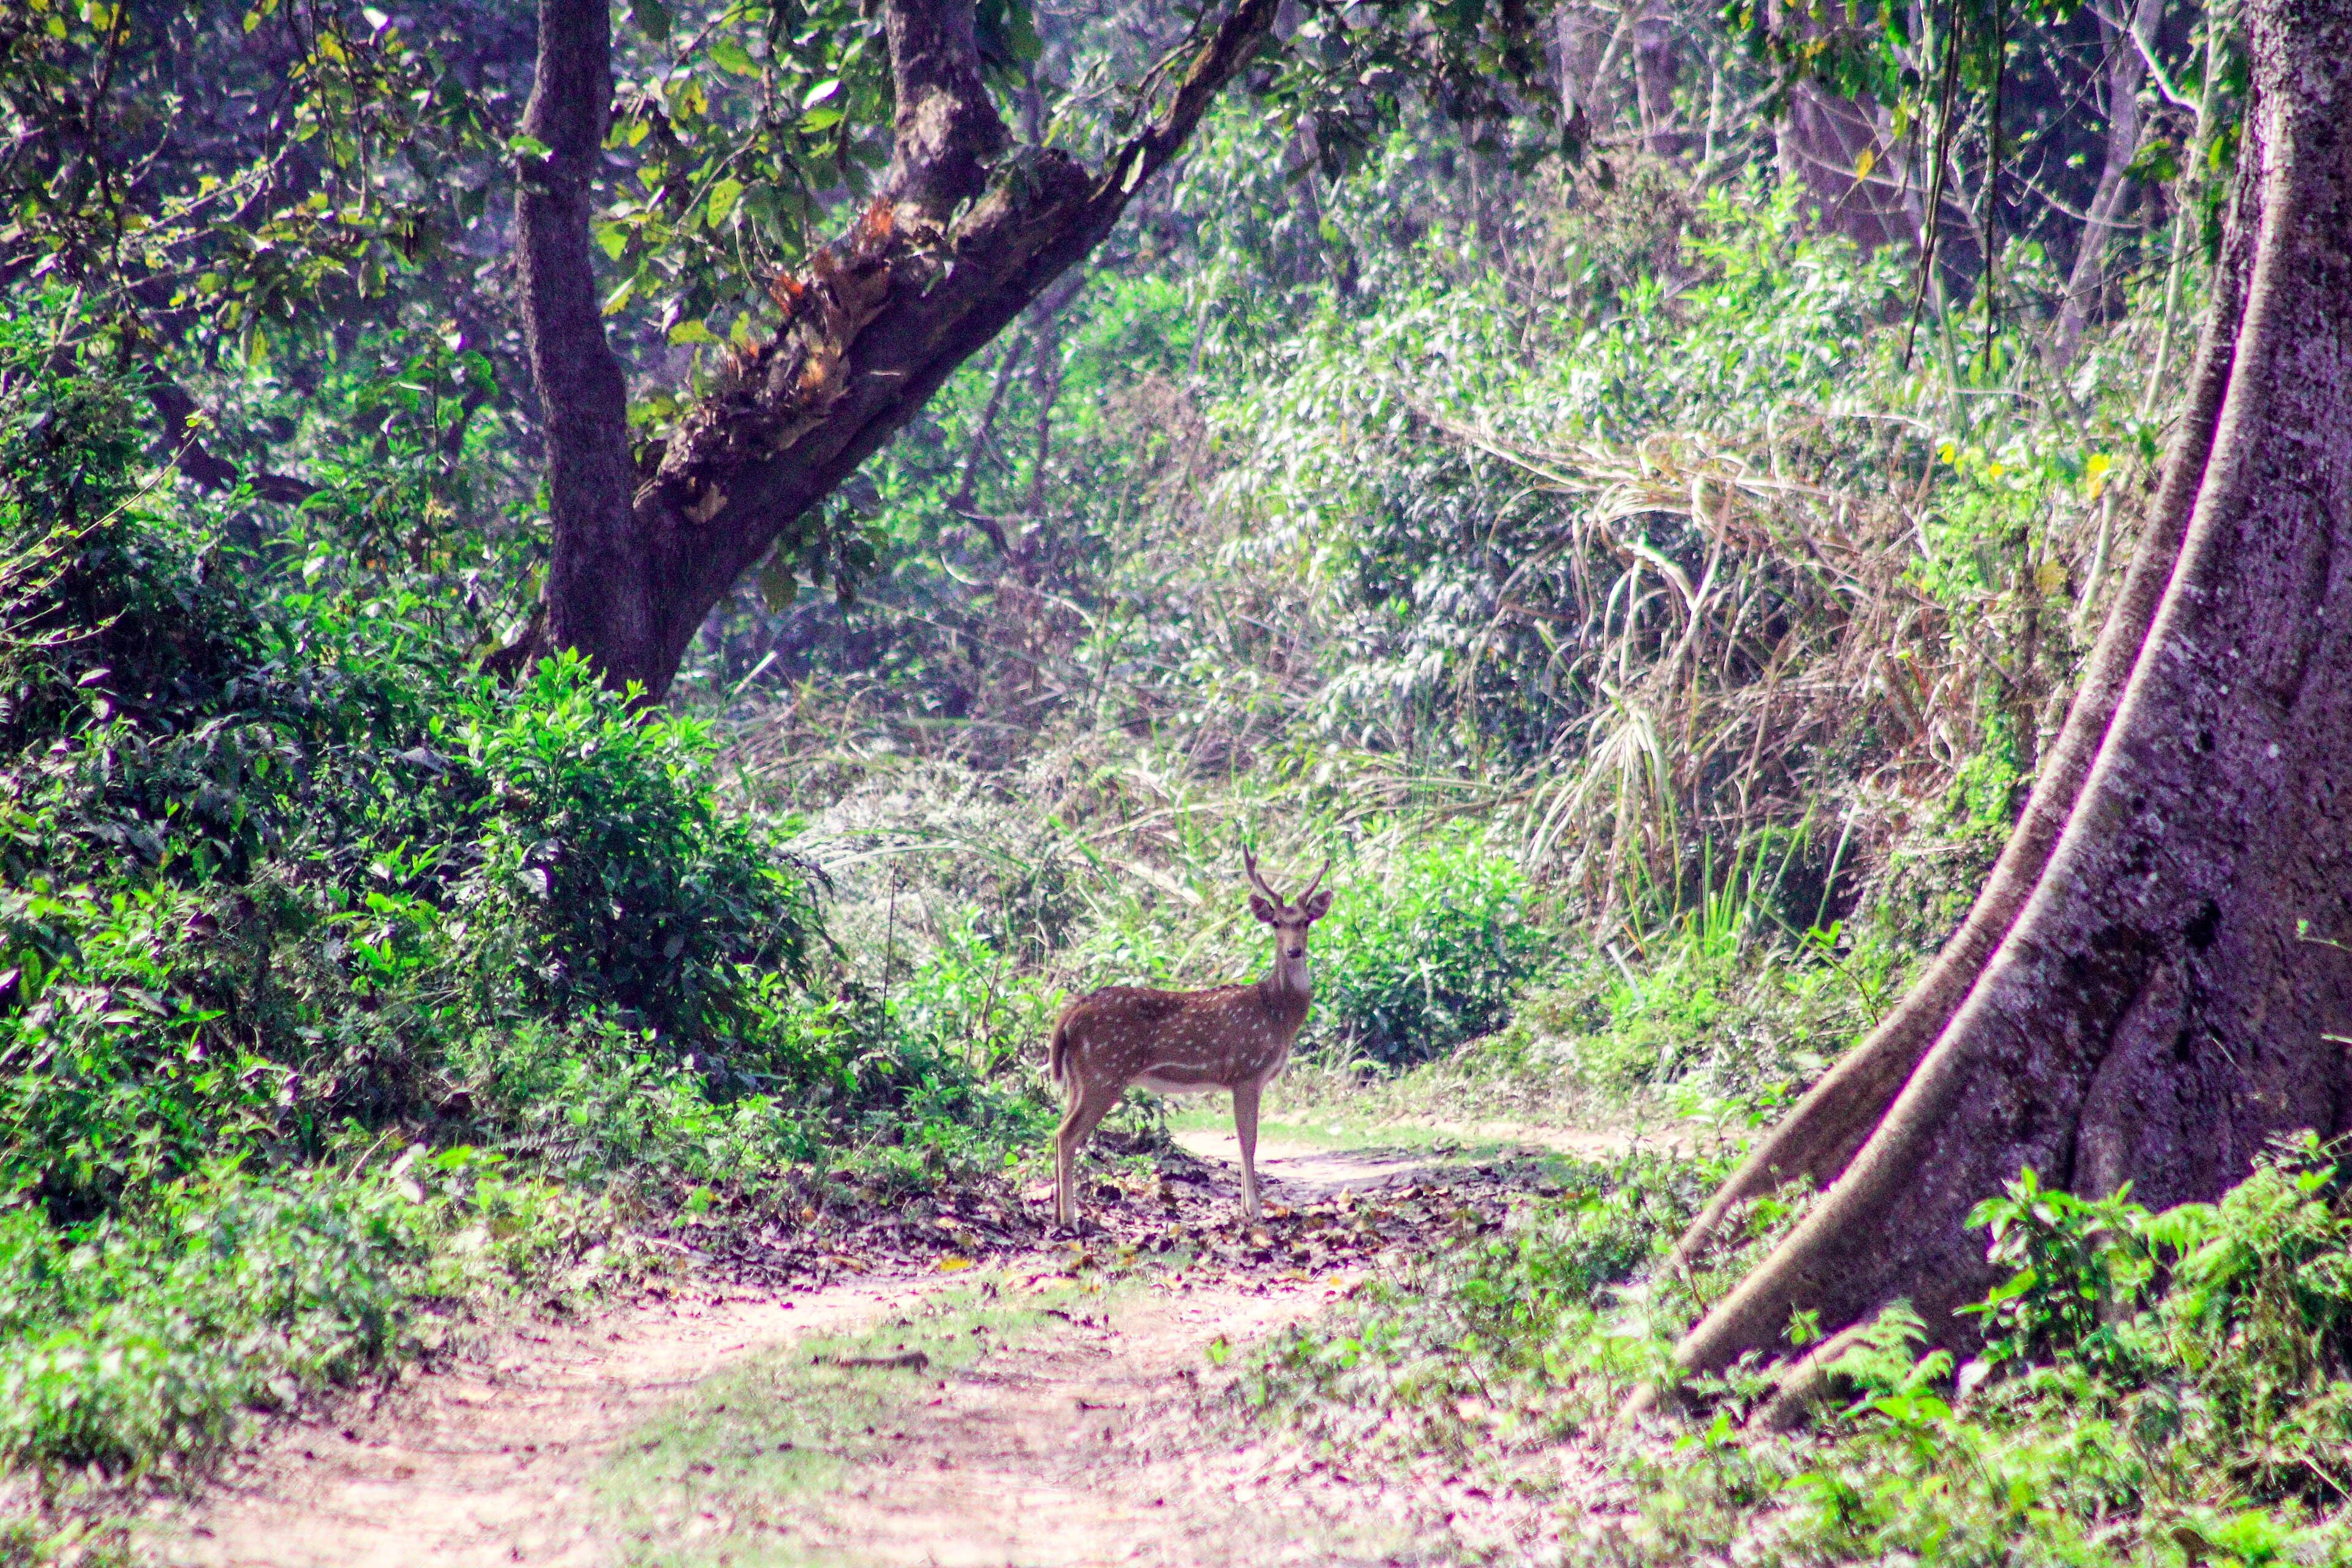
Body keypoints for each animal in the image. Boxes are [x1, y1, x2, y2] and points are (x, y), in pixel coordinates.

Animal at [1045, 849, 1333, 1230]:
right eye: (1276, 923)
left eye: (1305, 922)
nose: (1294, 952)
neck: (1278, 1013)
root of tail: (1069, 1016)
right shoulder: (1247, 1072)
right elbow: (1249, 1141)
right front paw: (1255, 1212)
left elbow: (1244, 1141)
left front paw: (1247, 1209)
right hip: (1103, 1072)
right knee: (1067, 1134)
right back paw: (1071, 1221)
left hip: (1079, 1078)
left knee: (1057, 1130)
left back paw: (1057, 1215)